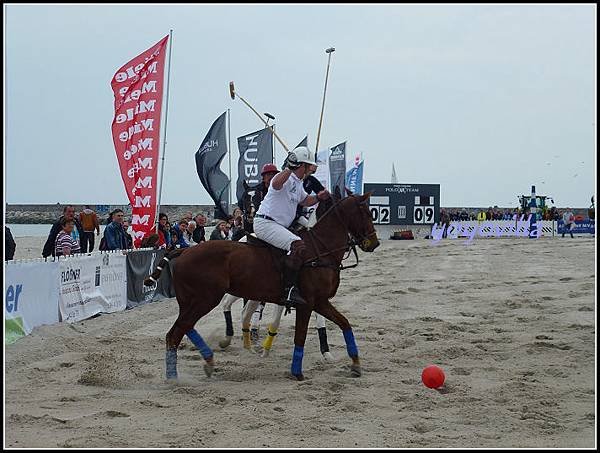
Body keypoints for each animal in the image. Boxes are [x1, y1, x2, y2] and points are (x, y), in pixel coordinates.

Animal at [145, 192, 380, 380]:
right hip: (206, 298)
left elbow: (345, 324)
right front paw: (297, 373)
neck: (320, 250)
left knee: (183, 327)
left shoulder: (320, 301)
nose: (374, 243)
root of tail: (184, 250)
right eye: (368, 214)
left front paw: (355, 365)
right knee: (176, 333)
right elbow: (300, 336)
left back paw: (207, 362)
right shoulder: (306, 303)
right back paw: (174, 376)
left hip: (191, 300)